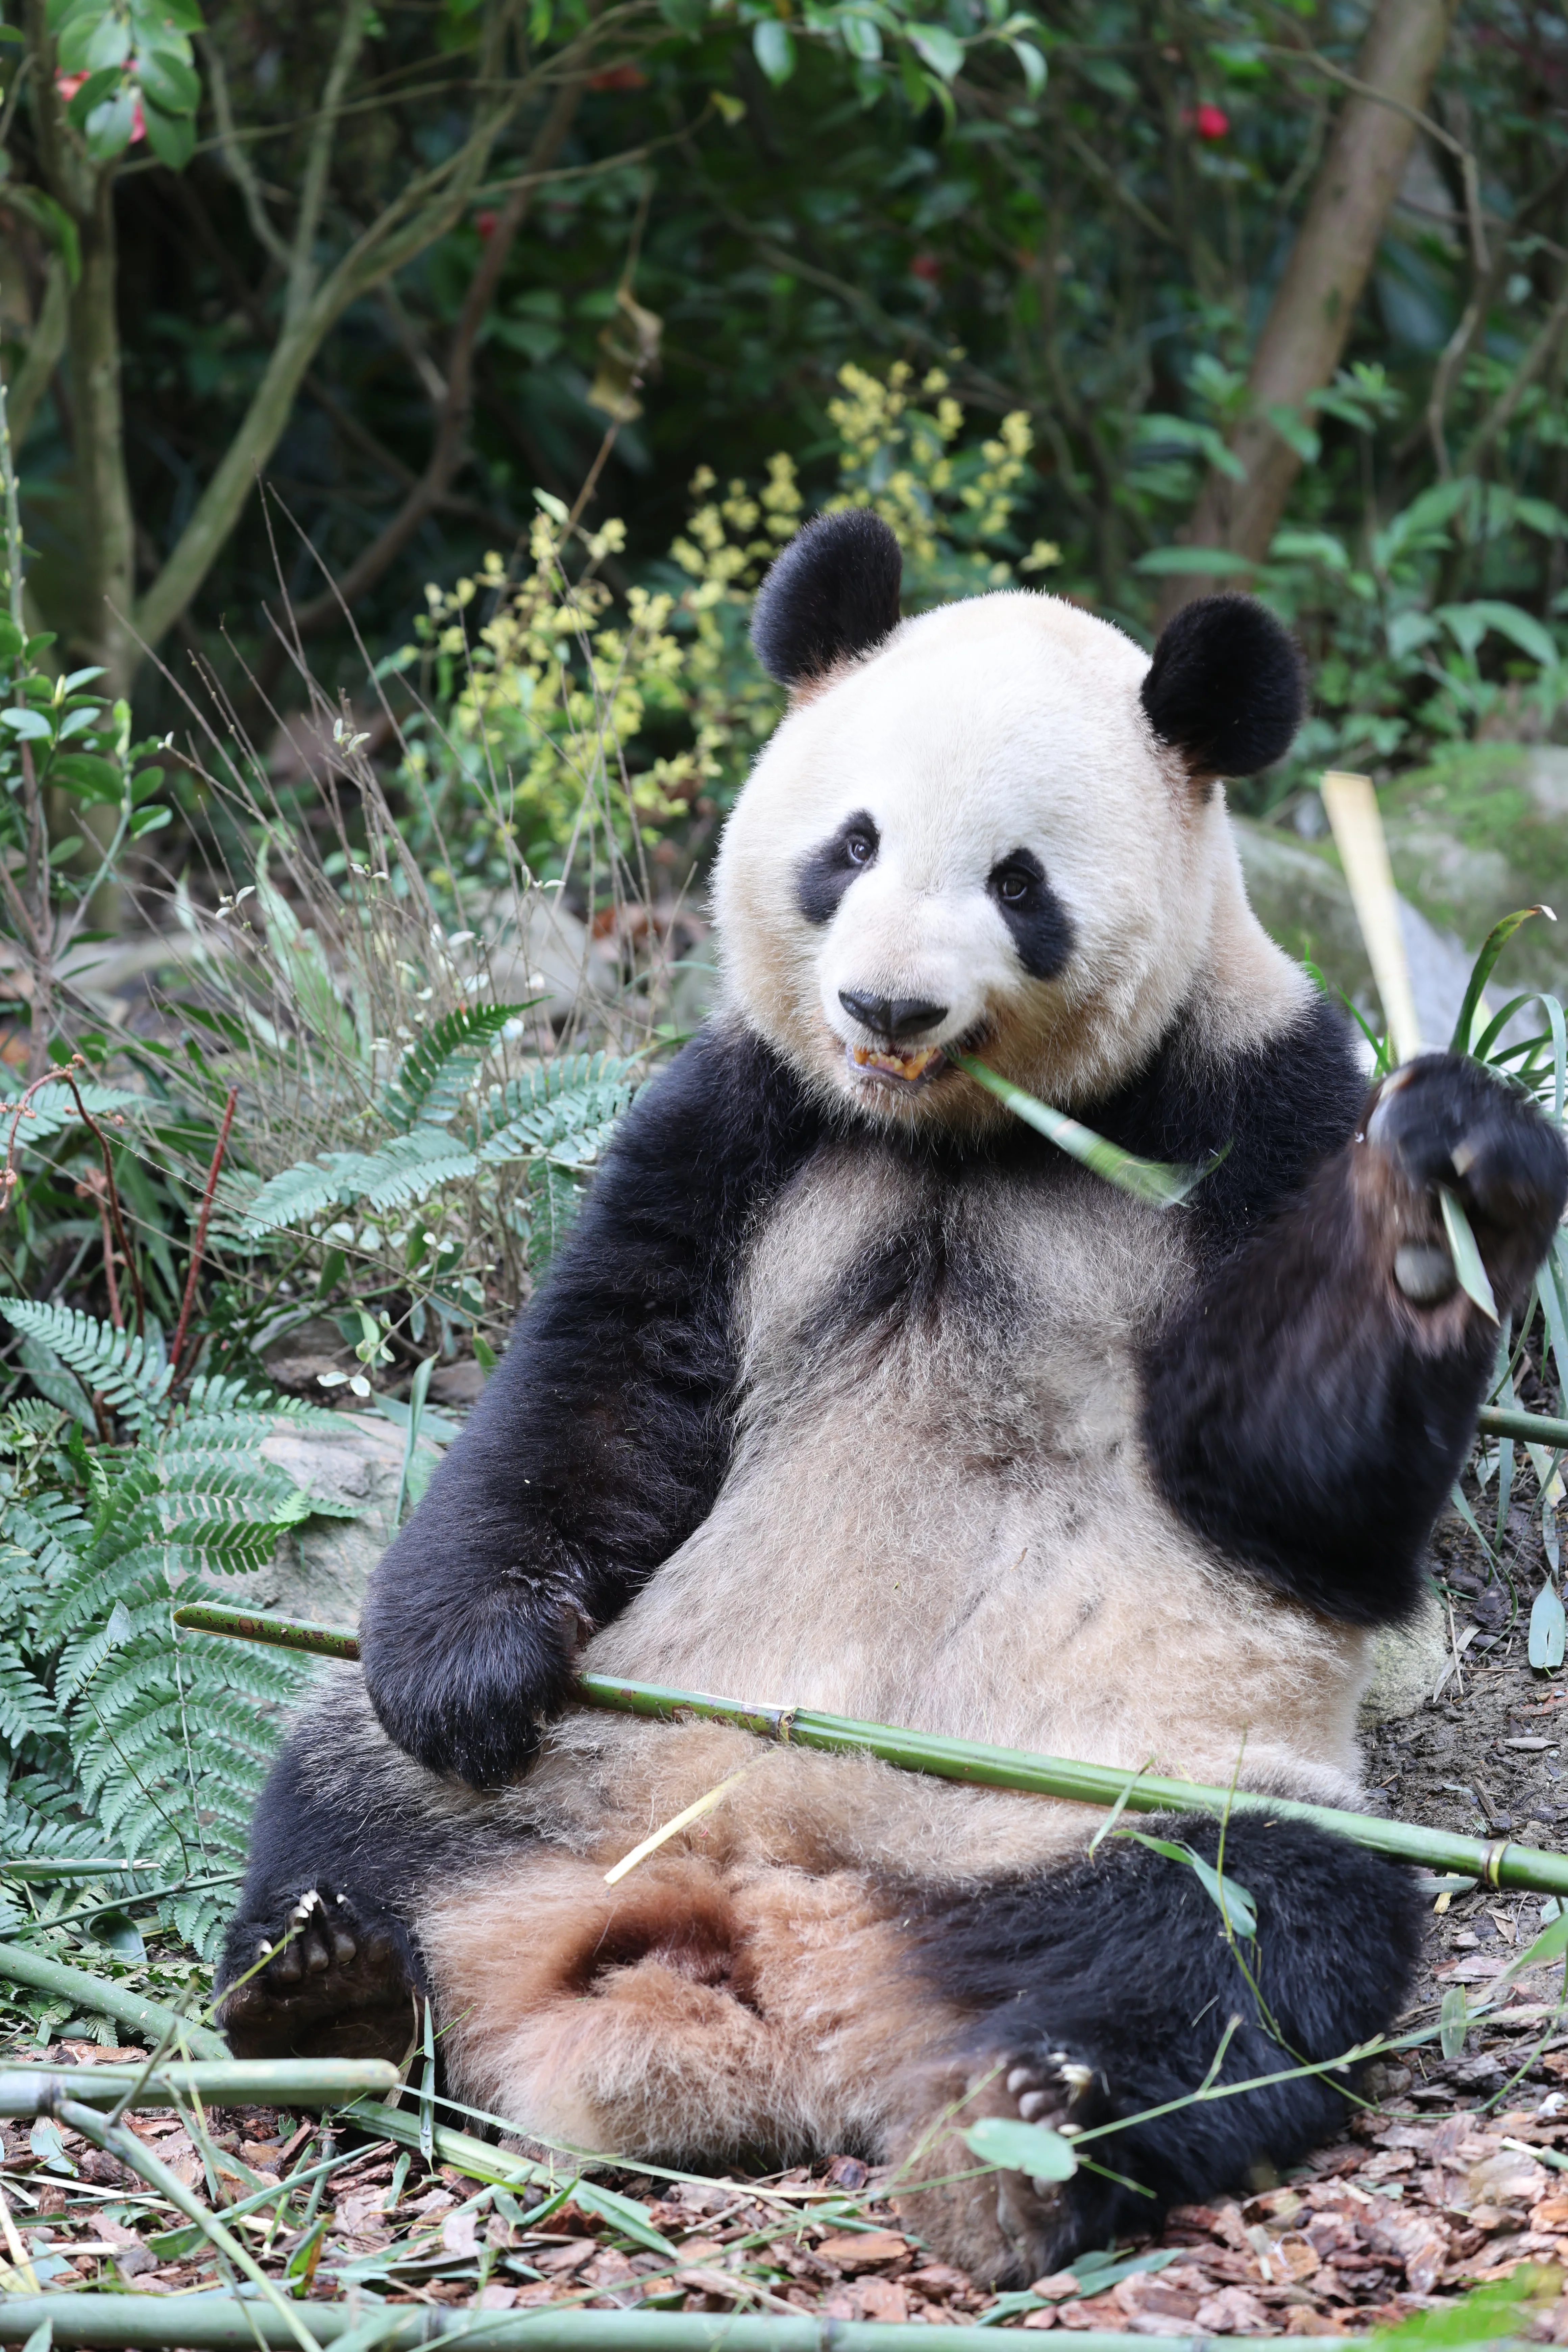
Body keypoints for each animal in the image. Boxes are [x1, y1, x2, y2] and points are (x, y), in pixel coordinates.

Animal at [219, 509, 1568, 2286]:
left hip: (1117, 1792)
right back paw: (330, 1985)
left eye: (1018, 882)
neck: (960, 1133)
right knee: (344, 1790)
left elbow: (1279, 1483)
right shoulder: (735, 1119)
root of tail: (768, 1937)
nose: (886, 1007)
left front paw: (1445, 1196)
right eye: (847, 846)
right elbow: (600, 1389)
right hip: (602, 1755)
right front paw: (461, 1673)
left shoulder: (1256, 1104)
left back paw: (1034, 2130)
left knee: (1246, 1944)